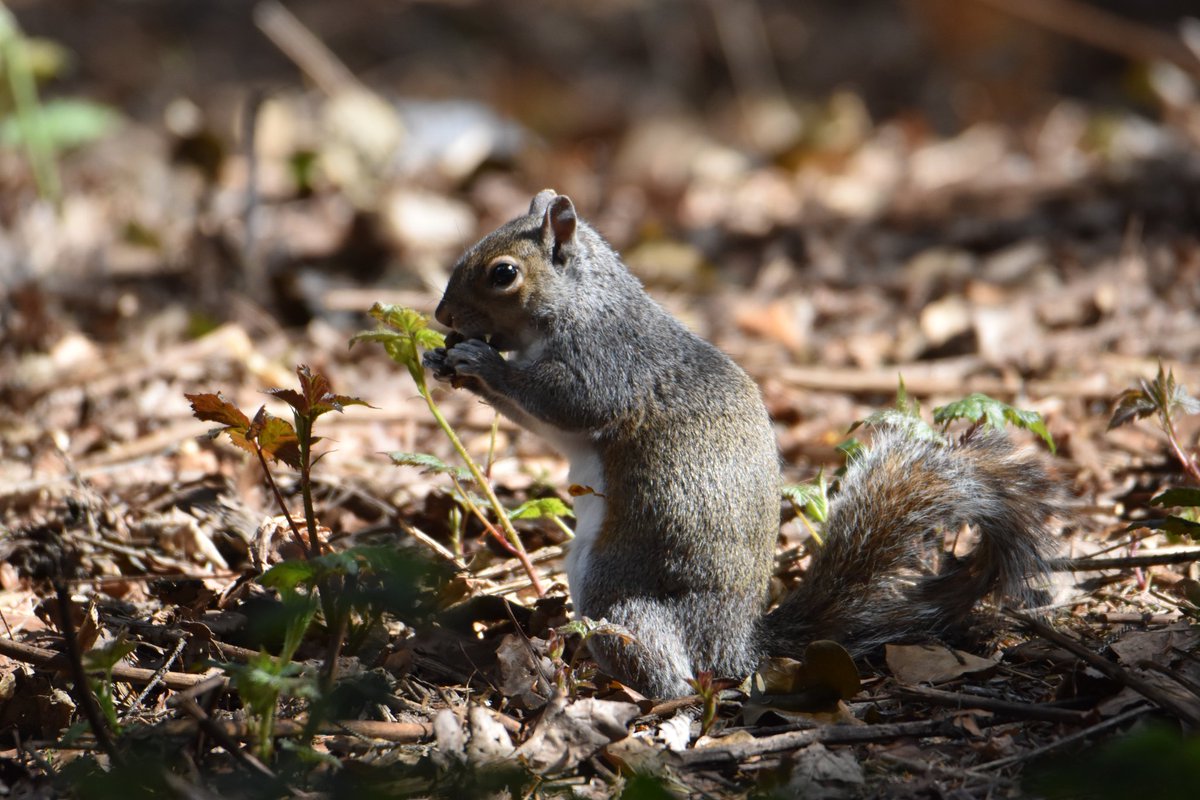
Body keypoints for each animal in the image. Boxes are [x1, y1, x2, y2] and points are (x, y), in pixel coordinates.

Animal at [420, 190, 1051, 695]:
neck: (584, 303)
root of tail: (736, 645)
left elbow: (566, 403)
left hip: (618, 585)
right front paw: (443, 361)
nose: (442, 315)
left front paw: (484, 363)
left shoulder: (605, 363)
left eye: (503, 273)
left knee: (665, 670)